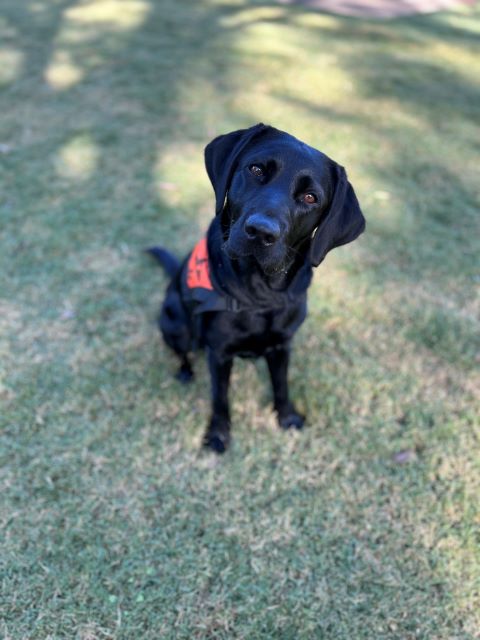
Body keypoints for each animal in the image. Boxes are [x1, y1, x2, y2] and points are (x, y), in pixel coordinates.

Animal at [148, 124, 366, 456]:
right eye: (256, 170)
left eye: (310, 197)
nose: (261, 232)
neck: (260, 290)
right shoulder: (219, 353)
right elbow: (220, 398)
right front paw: (218, 434)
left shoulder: (282, 345)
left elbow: (281, 385)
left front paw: (286, 417)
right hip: (176, 324)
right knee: (183, 351)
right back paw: (185, 371)